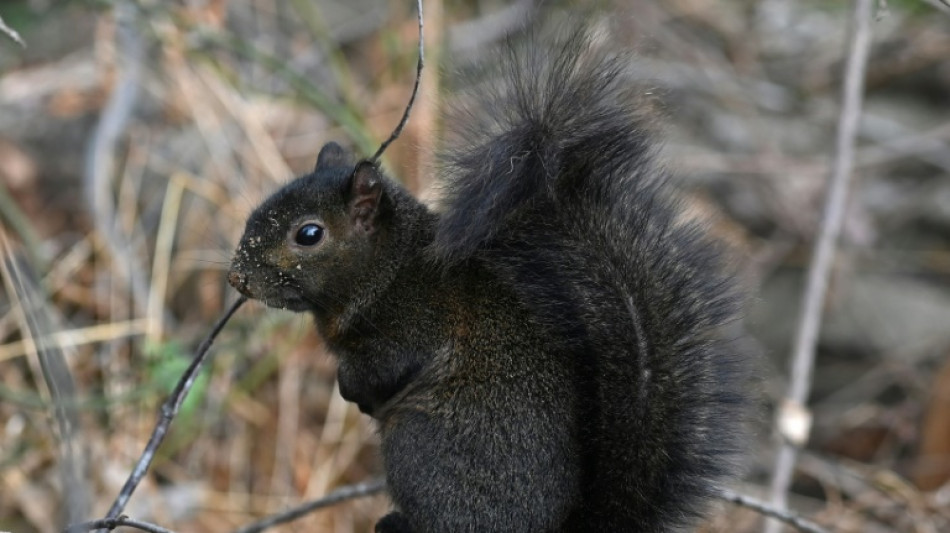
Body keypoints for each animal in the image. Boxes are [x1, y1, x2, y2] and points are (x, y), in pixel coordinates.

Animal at [228, 31, 750, 533]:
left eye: (309, 234)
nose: (237, 277)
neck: (387, 270)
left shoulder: (410, 327)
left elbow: (380, 369)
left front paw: (353, 390)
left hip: (420, 449)